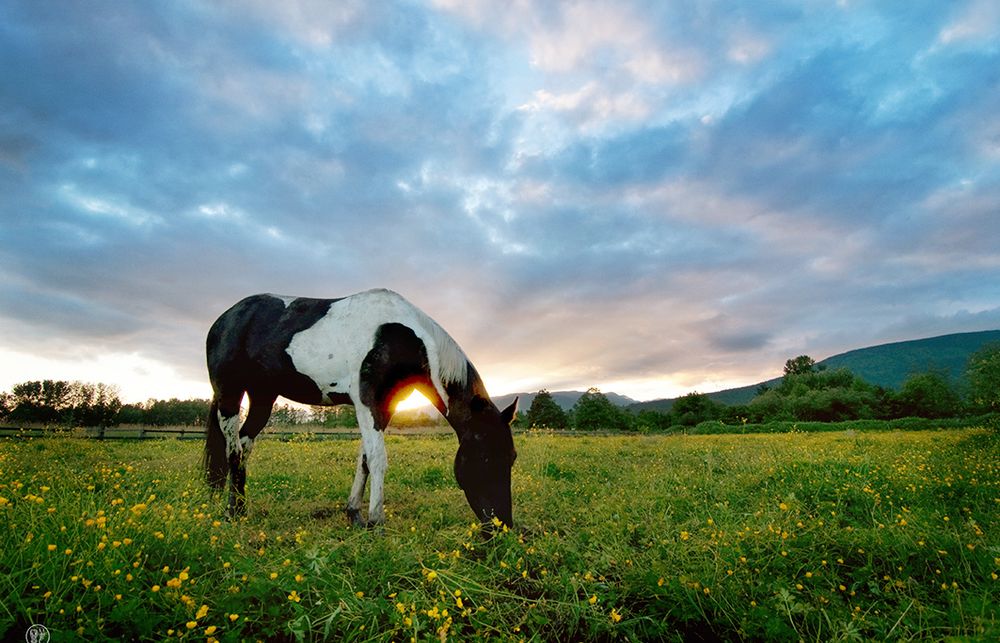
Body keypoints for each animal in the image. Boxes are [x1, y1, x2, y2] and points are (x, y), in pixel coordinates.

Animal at [202, 288, 518, 528]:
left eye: (512, 457)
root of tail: (226, 318)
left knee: (245, 446)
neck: (399, 334)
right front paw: (376, 521)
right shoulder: (366, 401)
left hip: (263, 398)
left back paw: (242, 509)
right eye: (485, 457)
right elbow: (378, 458)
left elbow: (365, 458)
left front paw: (354, 513)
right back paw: (230, 514)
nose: (501, 525)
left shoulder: (386, 406)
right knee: (233, 451)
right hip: (230, 395)